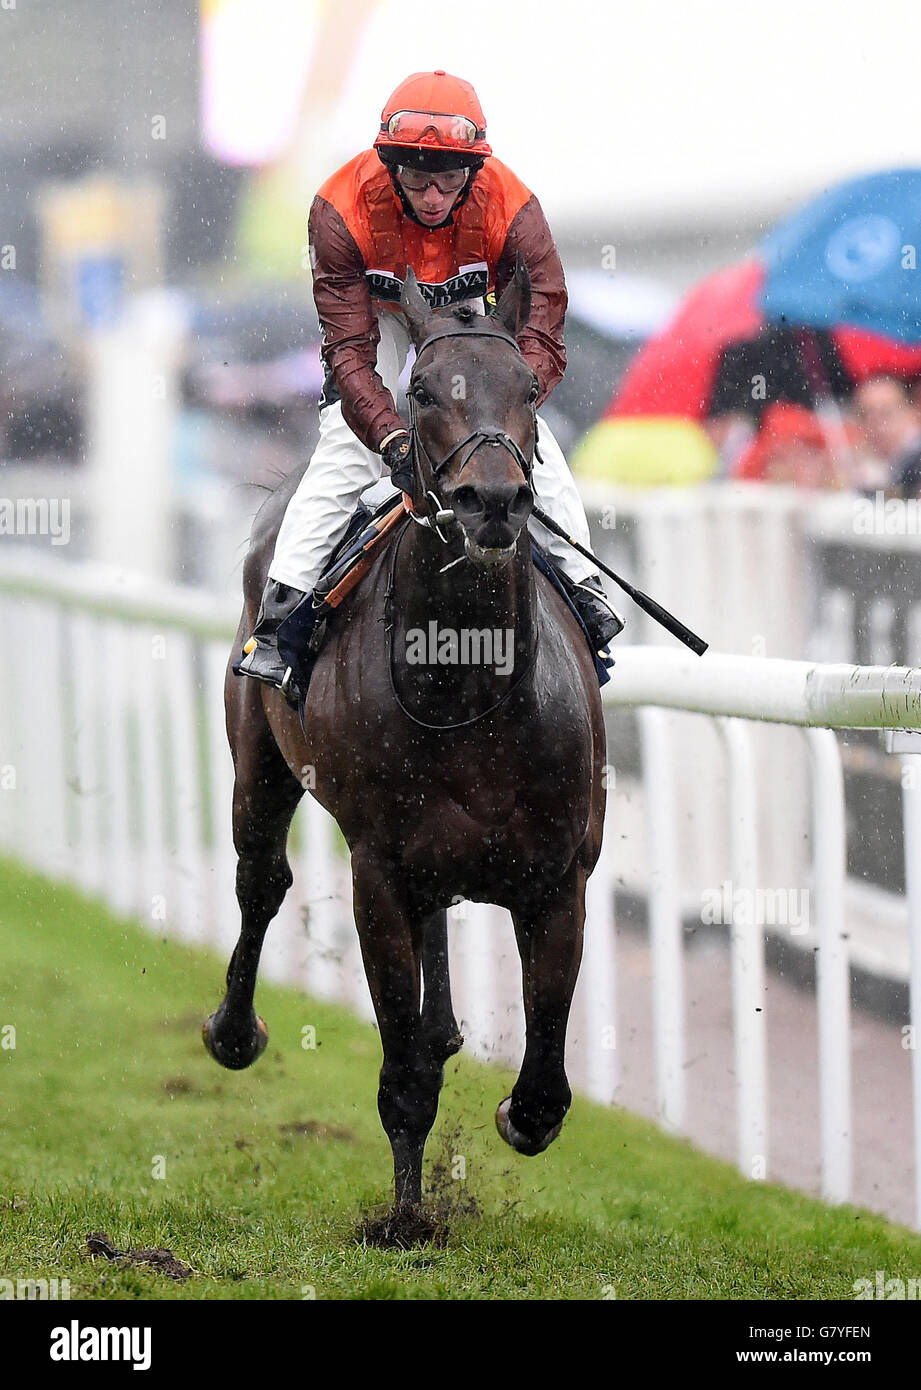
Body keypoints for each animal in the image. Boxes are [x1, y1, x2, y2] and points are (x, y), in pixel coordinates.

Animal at [205, 261, 608, 1239]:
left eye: (529, 387)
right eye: (422, 389)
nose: (492, 500)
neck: (466, 689)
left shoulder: (559, 876)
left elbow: (543, 1084)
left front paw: (511, 1114)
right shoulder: (378, 871)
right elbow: (400, 1073)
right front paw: (405, 1221)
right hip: (257, 763)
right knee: (260, 881)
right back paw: (233, 1030)